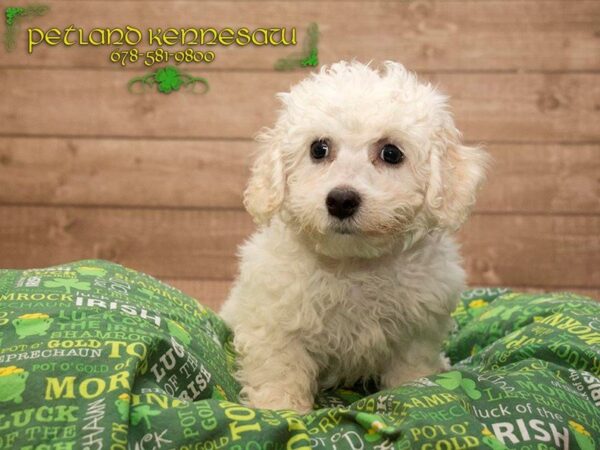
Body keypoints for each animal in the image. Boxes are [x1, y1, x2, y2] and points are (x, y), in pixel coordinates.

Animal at [220, 61, 488, 414]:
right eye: (319, 149)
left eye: (391, 153)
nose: (341, 200)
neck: (354, 264)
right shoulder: (274, 323)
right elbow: (281, 370)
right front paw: (282, 410)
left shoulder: (417, 332)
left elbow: (411, 370)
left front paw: (415, 394)